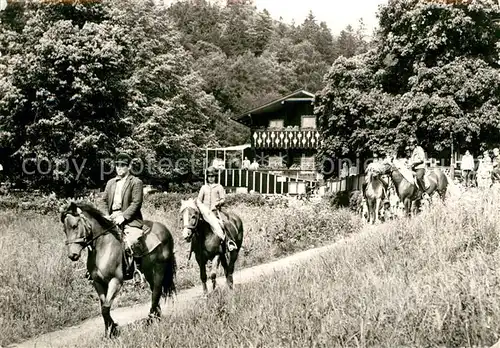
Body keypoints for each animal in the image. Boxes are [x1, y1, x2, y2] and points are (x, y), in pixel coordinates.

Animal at [58, 200, 177, 338]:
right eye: (64, 229)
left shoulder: (115, 281)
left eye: (75, 226)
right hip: (148, 271)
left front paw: (112, 330)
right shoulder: (98, 283)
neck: (103, 247)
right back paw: (156, 317)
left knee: (156, 291)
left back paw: (150, 319)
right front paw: (110, 330)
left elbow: (105, 308)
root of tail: (165, 229)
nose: (72, 255)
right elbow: (103, 307)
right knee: (154, 292)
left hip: (159, 269)